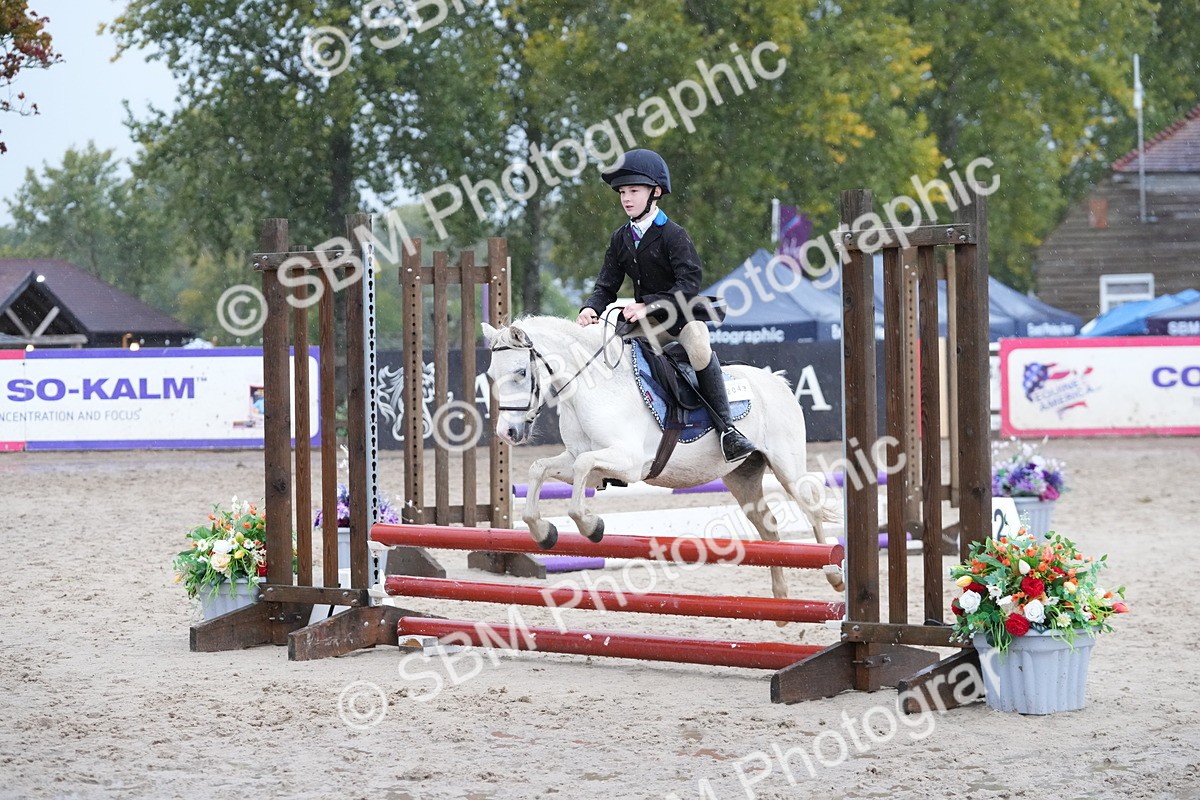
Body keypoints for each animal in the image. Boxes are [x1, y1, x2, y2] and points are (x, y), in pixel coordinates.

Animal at [482, 315, 844, 602]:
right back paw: (781, 599)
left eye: (519, 372)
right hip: (743, 477)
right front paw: (544, 531)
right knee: (768, 528)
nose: (507, 433)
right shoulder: (578, 460)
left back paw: (834, 575)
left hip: (788, 469)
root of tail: (777, 381)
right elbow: (538, 468)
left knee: (811, 509)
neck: (592, 388)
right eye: (491, 375)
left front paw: (591, 526)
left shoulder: (627, 462)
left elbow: (580, 478)